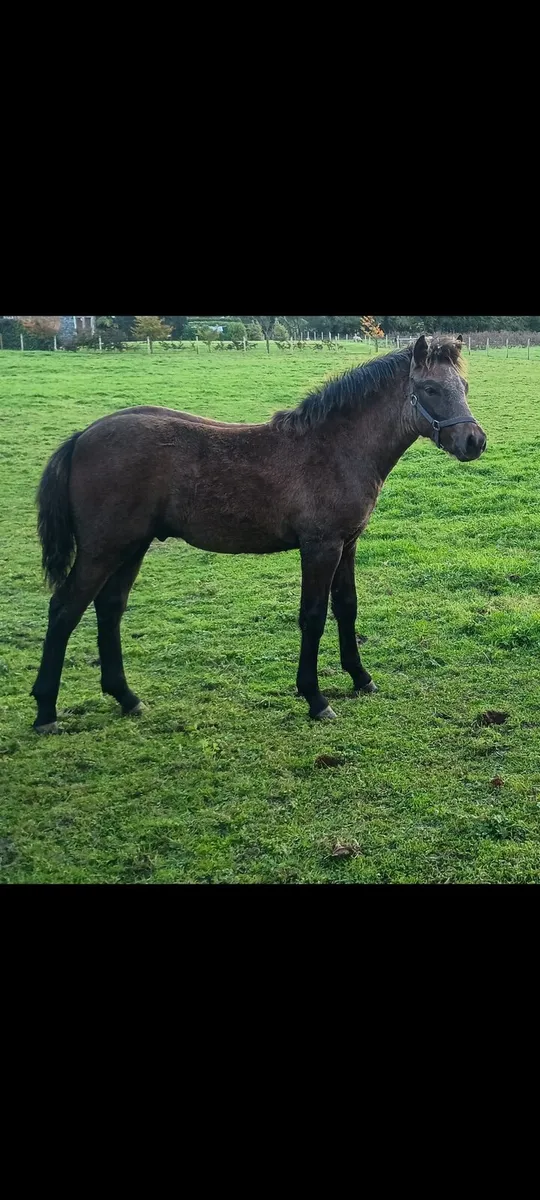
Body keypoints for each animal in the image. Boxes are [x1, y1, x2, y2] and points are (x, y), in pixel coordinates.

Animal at [31, 334, 486, 733]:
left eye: (463, 386)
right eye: (429, 389)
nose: (474, 441)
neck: (336, 448)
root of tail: (82, 437)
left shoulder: (348, 543)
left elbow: (347, 608)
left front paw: (361, 678)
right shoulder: (320, 547)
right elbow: (313, 616)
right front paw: (315, 698)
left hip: (132, 546)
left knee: (109, 608)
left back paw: (126, 697)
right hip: (101, 549)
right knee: (65, 609)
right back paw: (46, 711)